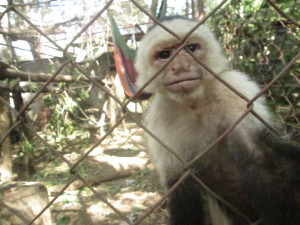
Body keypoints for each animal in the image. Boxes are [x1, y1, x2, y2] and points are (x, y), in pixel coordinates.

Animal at [135, 16, 300, 224]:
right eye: (165, 55)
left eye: (191, 48)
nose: (181, 67)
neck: (195, 104)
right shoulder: (160, 116)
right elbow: (181, 187)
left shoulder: (234, 92)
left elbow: (259, 160)